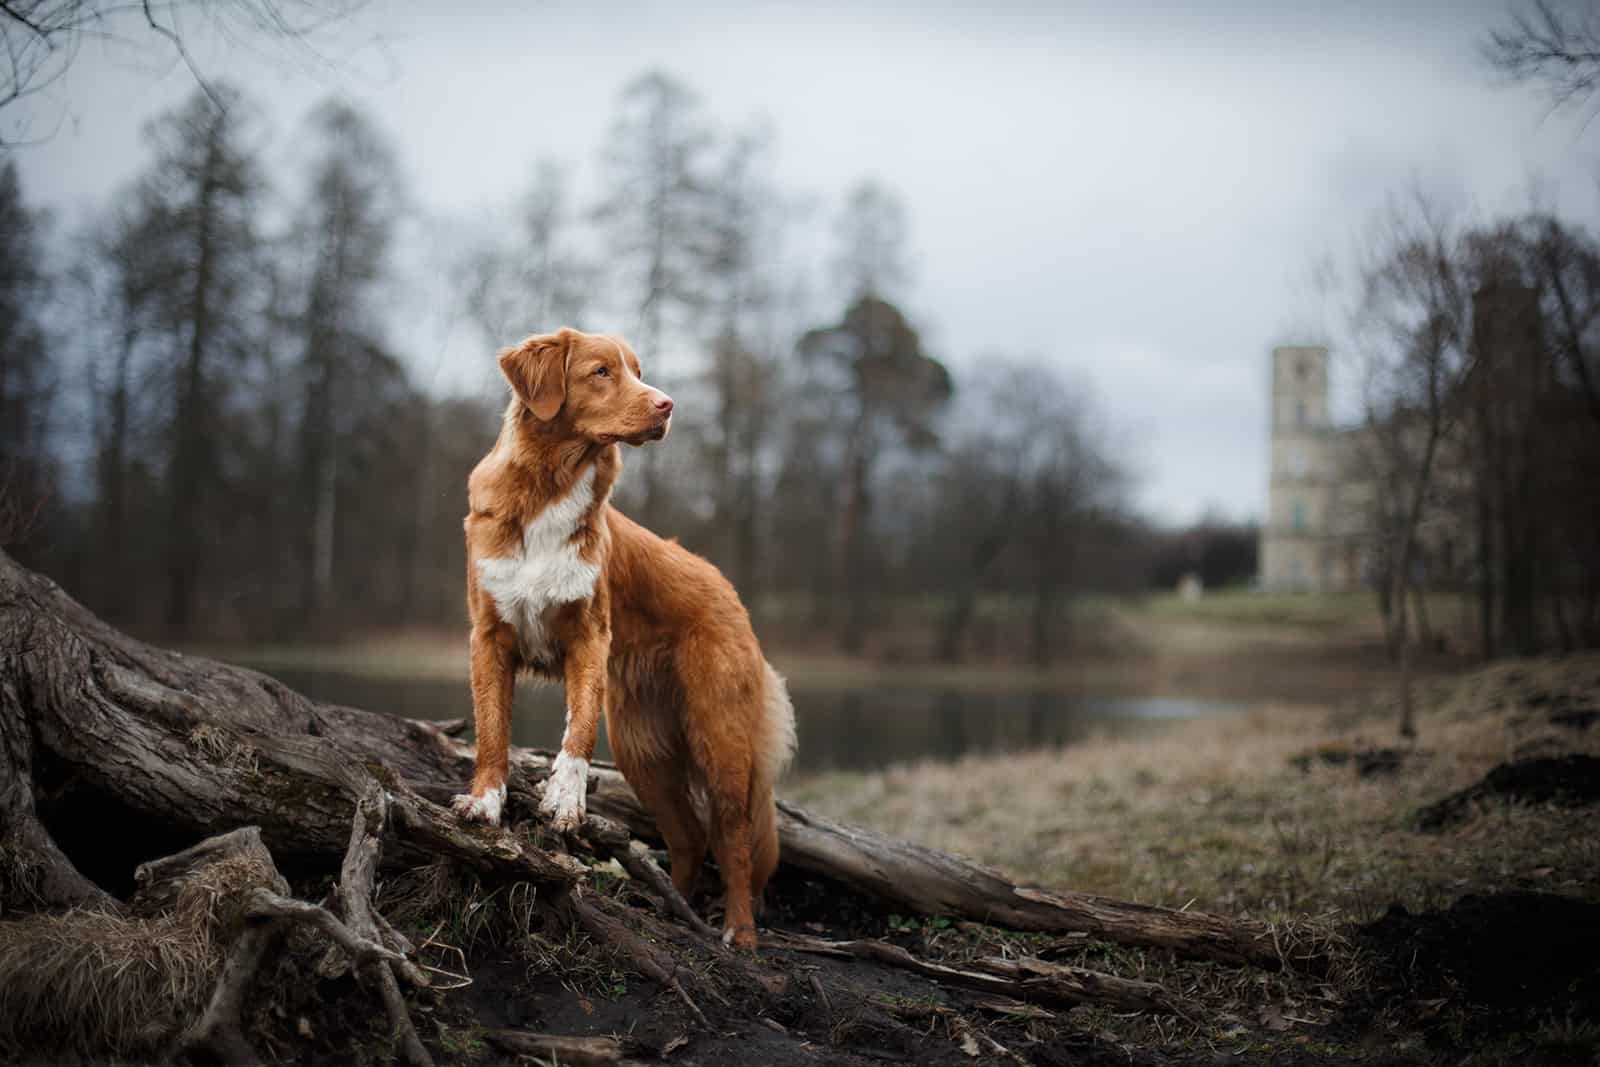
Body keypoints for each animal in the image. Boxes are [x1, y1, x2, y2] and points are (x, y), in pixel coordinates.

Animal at [454, 327, 796, 953]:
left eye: (638, 371)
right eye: (601, 372)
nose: (667, 405)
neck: (553, 488)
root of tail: (727, 589)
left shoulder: (590, 637)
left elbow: (578, 730)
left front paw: (565, 800)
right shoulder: (488, 637)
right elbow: (491, 731)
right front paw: (485, 803)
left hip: (719, 739)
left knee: (732, 840)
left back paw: (738, 931)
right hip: (644, 750)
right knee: (688, 837)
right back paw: (675, 912)